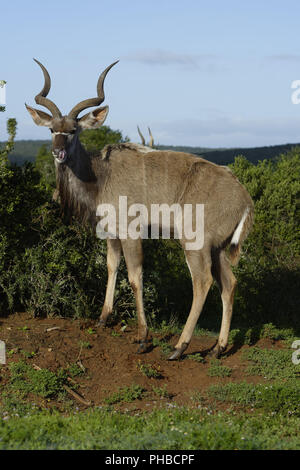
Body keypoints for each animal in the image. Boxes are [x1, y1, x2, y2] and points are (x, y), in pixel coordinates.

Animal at [26, 58, 253, 360]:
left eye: (74, 131)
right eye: (52, 130)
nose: (58, 152)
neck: (100, 176)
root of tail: (244, 198)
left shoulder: (131, 233)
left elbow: (135, 277)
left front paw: (143, 337)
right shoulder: (111, 235)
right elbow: (112, 267)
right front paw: (103, 318)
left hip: (195, 243)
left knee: (202, 281)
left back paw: (179, 347)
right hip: (216, 249)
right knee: (229, 283)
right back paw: (218, 348)